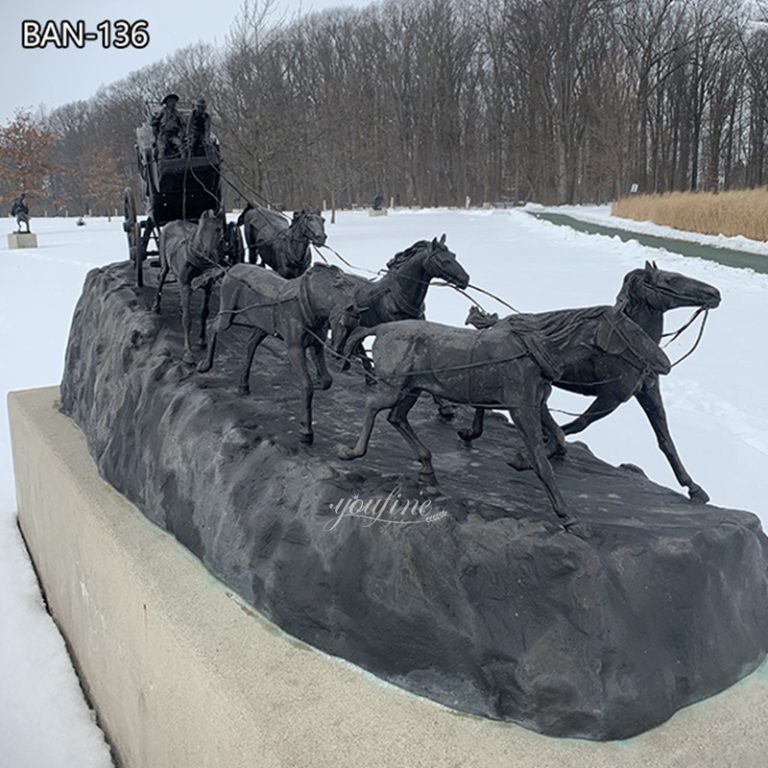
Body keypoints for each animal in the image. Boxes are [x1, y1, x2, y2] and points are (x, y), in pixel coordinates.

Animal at [153, 210, 224, 366]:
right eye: (202, 229)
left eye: (218, 229)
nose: (207, 254)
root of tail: (173, 221)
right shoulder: (185, 286)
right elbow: (187, 319)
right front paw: (188, 354)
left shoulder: (208, 287)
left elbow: (204, 312)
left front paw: (202, 340)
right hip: (164, 262)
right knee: (162, 276)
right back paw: (156, 306)